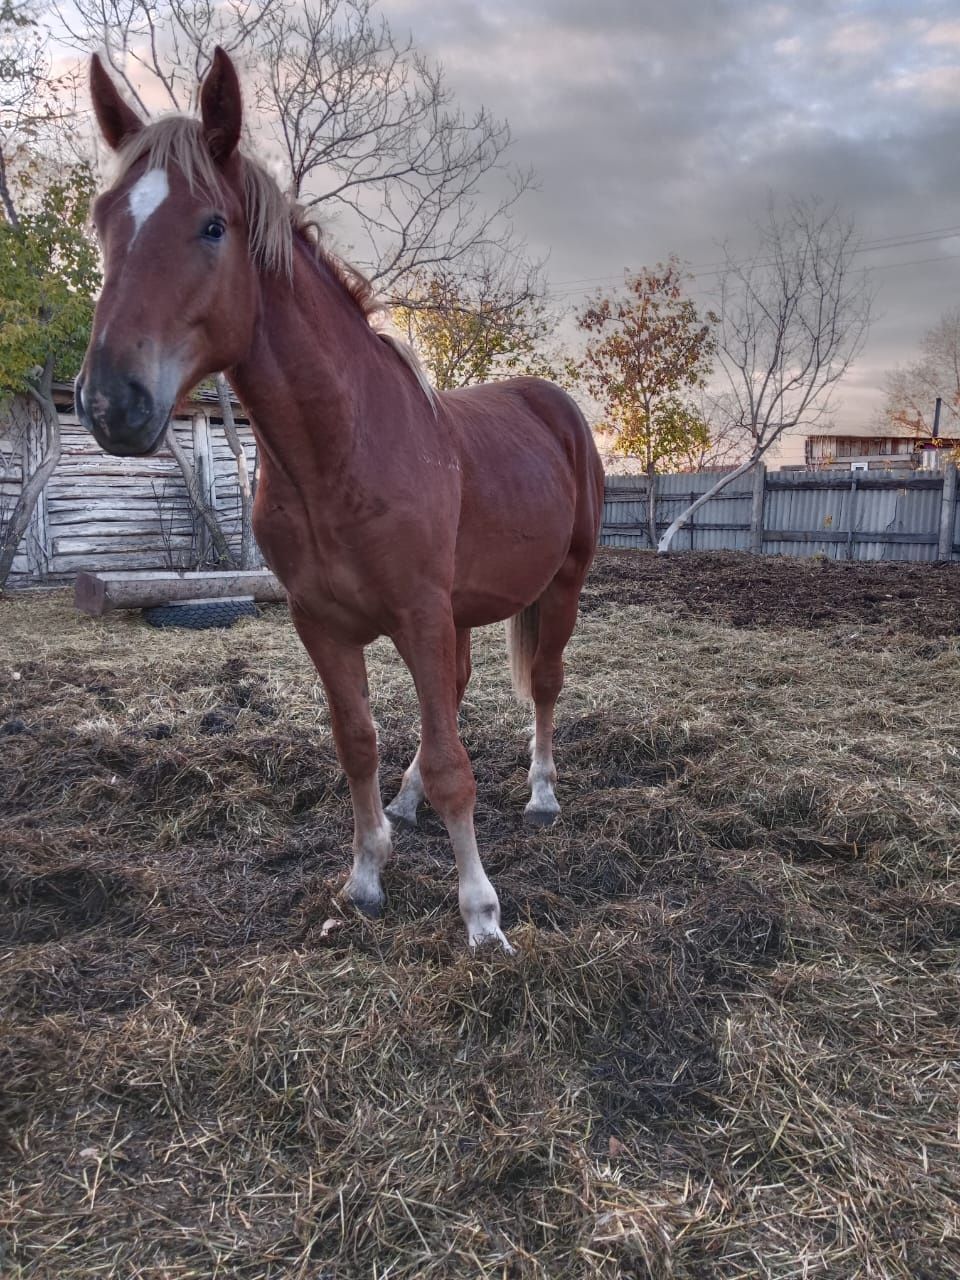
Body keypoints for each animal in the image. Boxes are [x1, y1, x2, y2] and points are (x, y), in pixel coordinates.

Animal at [79, 49, 604, 952]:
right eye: (104, 219)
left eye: (211, 226)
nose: (113, 402)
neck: (342, 452)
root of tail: (554, 404)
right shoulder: (321, 622)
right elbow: (358, 741)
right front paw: (365, 876)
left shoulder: (420, 614)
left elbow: (455, 764)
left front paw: (482, 917)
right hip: (462, 609)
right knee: (454, 696)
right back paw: (408, 799)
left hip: (559, 585)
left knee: (543, 683)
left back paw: (541, 794)